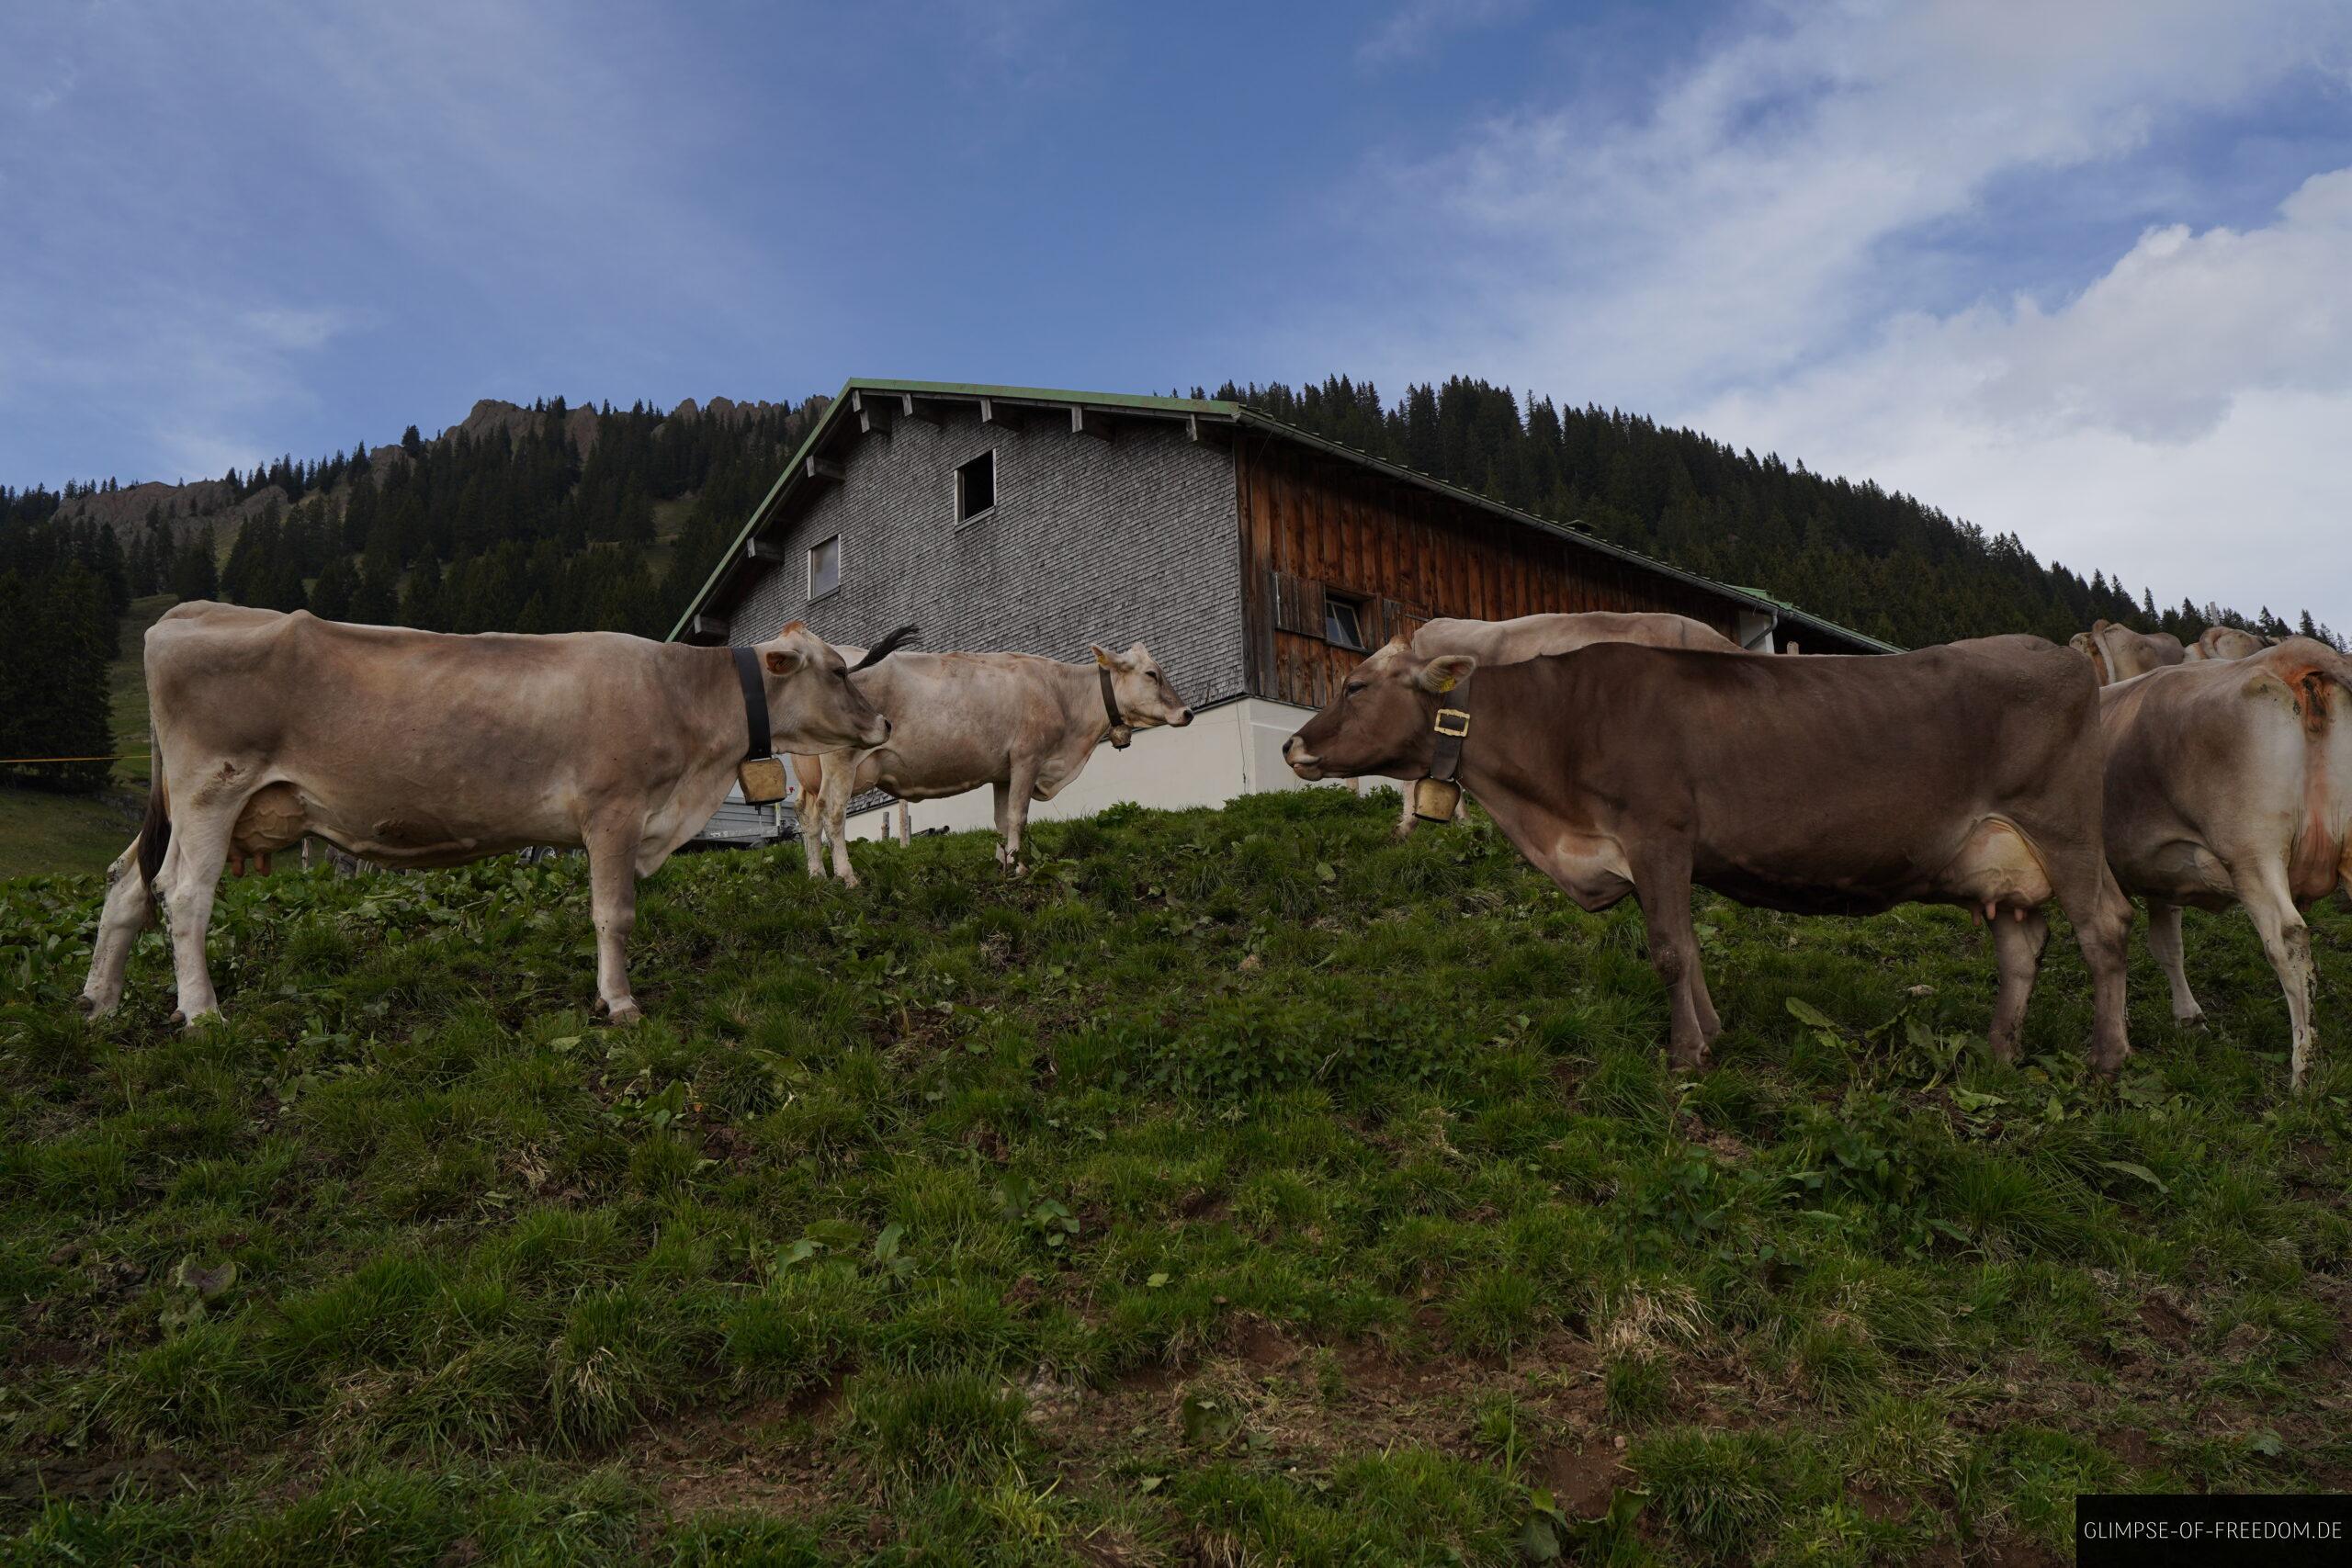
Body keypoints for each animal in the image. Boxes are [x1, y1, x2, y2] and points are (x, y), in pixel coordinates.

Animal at [78, 604, 903, 1027]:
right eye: (839, 670)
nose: (886, 723)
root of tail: (191, 610)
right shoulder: (613, 809)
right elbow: (614, 914)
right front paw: (620, 1002)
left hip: (189, 806)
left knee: (128, 882)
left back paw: (101, 1001)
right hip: (210, 790)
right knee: (185, 896)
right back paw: (202, 1012)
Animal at [797, 641, 1192, 886]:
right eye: (1152, 674)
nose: (1187, 712)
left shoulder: (1002, 771)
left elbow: (1001, 821)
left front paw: (1002, 865)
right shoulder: (1027, 757)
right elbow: (1018, 816)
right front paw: (1020, 867)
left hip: (810, 773)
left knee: (809, 815)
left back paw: (816, 875)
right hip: (842, 760)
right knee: (833, 811)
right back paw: (847, 876)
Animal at [1283, 636, 2134, 1073]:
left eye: (1355, 686)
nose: (1293, 744)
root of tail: (2052, 650)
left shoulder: (1658, 830)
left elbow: (1665, 949)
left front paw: (1686, 1055)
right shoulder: (1662, 853)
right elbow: (1688, 947)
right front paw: (1714, 1031)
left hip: (2065, 828)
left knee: (2105, 929)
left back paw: (2107, 1057)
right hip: (2005, 859)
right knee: (2022, 944)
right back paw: (2000, 1049)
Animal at [2098, 638, 2351, 1089]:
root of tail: (2290, 650)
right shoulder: (2162, 872)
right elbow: (2168, 947)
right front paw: (2189, 1019)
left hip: (2252, 853)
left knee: (2287, 940)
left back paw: (2303, 1067)